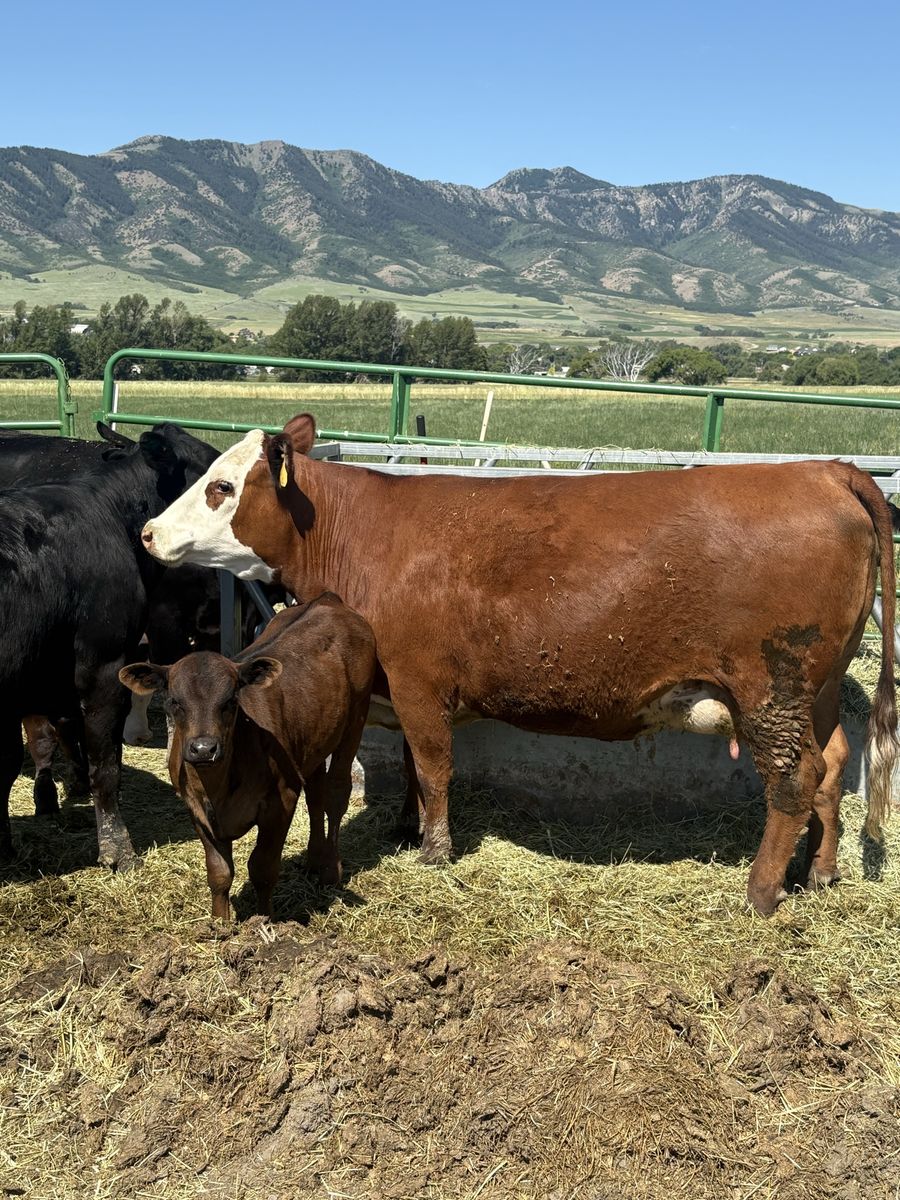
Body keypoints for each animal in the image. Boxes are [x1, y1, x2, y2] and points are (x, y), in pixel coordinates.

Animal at [119, 594, 376, 921]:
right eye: (174, 701)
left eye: (231, 701)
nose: (204, 748)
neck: (218, 786)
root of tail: (327, 600)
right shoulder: (195, 808)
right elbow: (219, 872)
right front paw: (220, 923)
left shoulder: (281, 802)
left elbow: (262, 868)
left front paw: (263, 921)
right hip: (314, 740)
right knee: (316, 795)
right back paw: (314, 860)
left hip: (356, 719)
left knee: (336, 794)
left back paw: (331, 869)